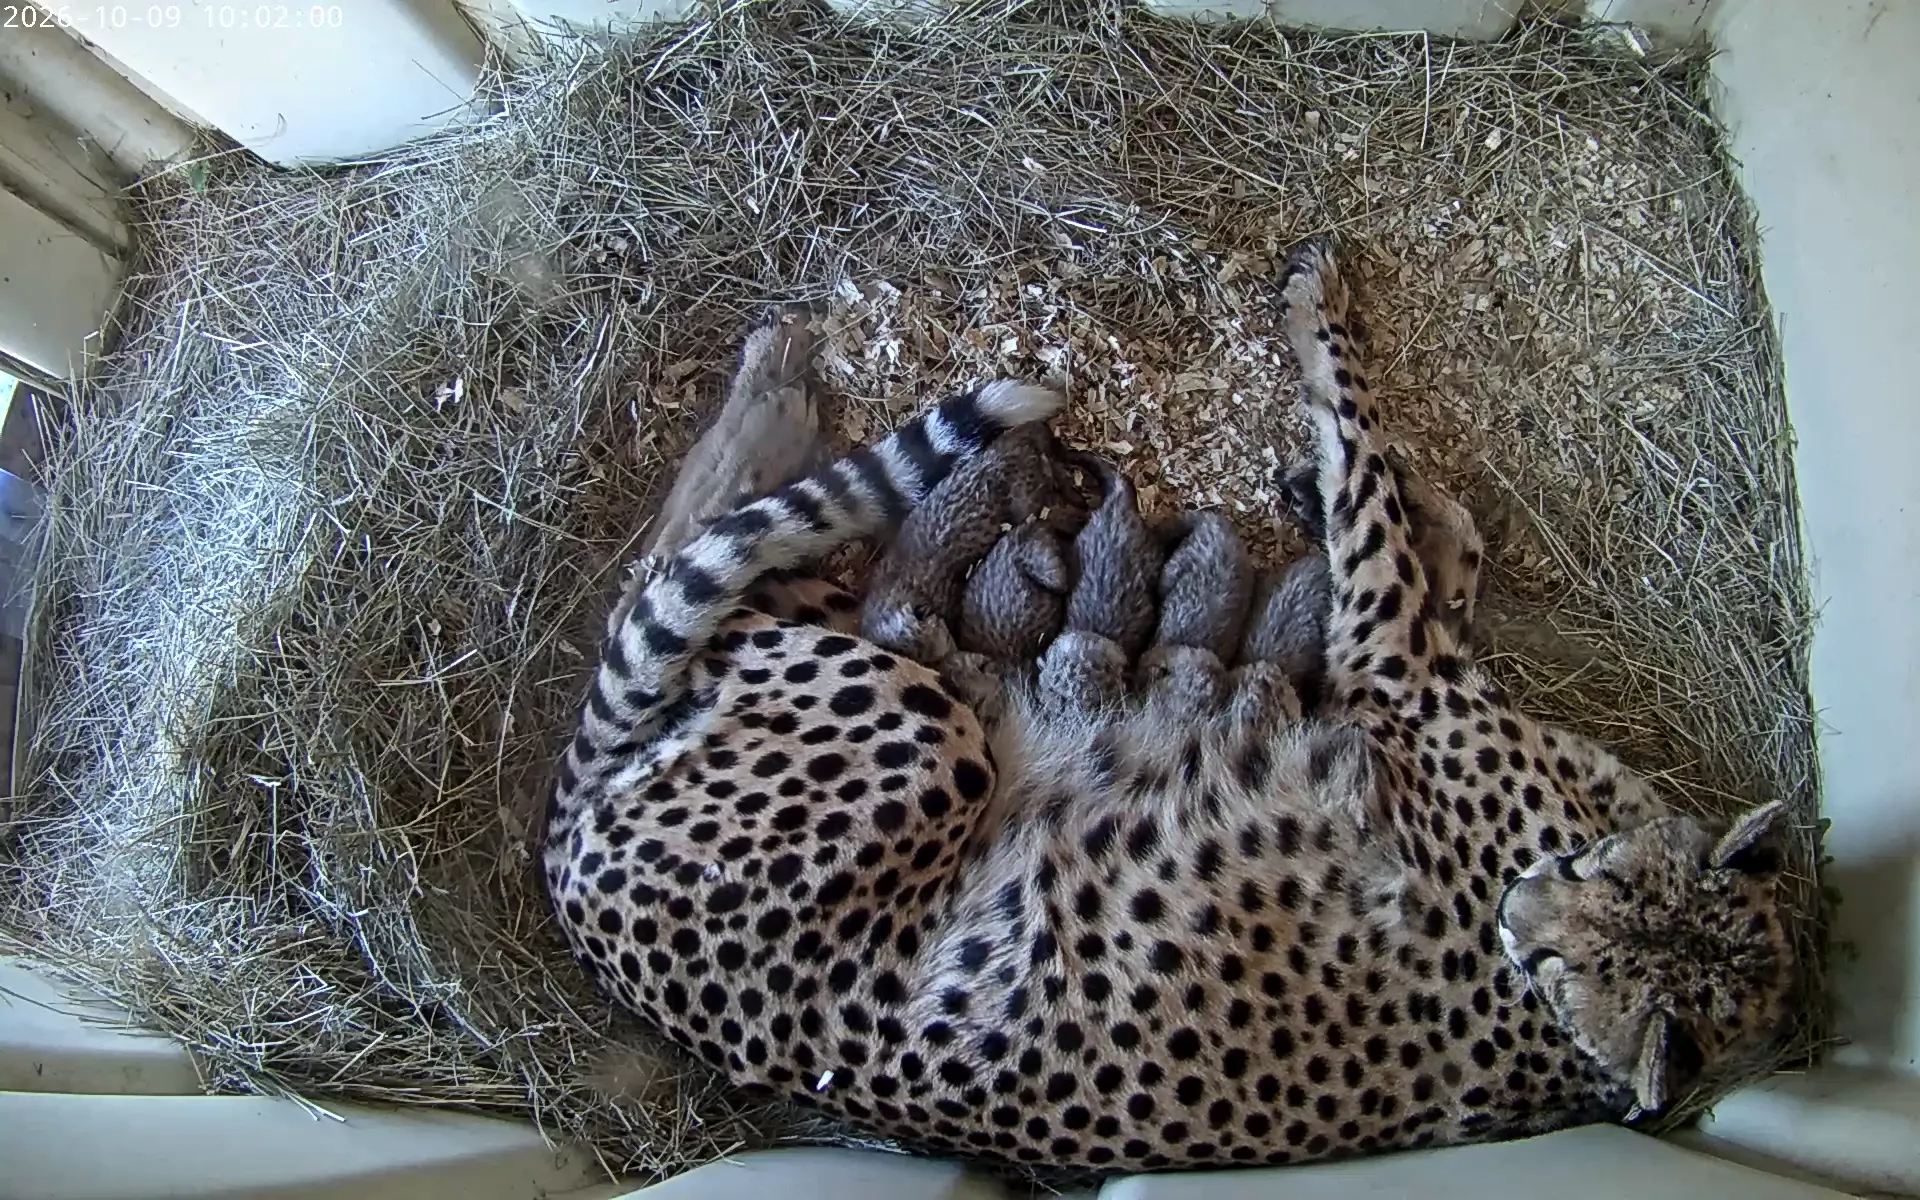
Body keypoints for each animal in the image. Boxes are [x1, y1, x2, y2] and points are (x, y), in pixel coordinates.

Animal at [544, 240, 1797, 1175]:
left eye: (1577, 965)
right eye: (1600, 894)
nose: (1522, 906)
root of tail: (569, 874)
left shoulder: (1389, 660)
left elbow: (1366, 462)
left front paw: (1318, 324)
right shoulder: (1408, 661)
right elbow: (1423, 528)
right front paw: (1359, 464)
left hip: (908, 711)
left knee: (700, 567)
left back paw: (778, 387)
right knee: (697, 558)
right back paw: (779, 377)